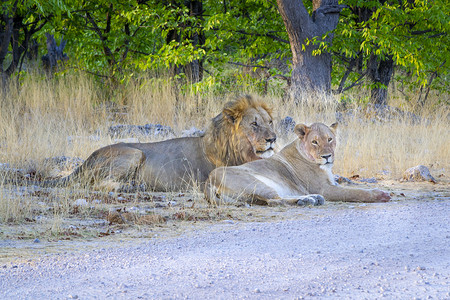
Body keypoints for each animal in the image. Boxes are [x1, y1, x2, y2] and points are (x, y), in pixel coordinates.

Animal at [40, 95, 276, 191]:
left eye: (270, 122)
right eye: (254, 124)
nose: (273, 139)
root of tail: (85, 161)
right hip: (134, 153)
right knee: (96, 184)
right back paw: (130, 186)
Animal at [205, 122, 390, 206]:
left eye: (330, 139)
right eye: (315, 142)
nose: (327, 156)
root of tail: (208, 182)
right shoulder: (325, 188)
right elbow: (354, 192)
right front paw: (380, 194)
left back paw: (312, 199)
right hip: (254, 182)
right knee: (275, 201)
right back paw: (307, 200)